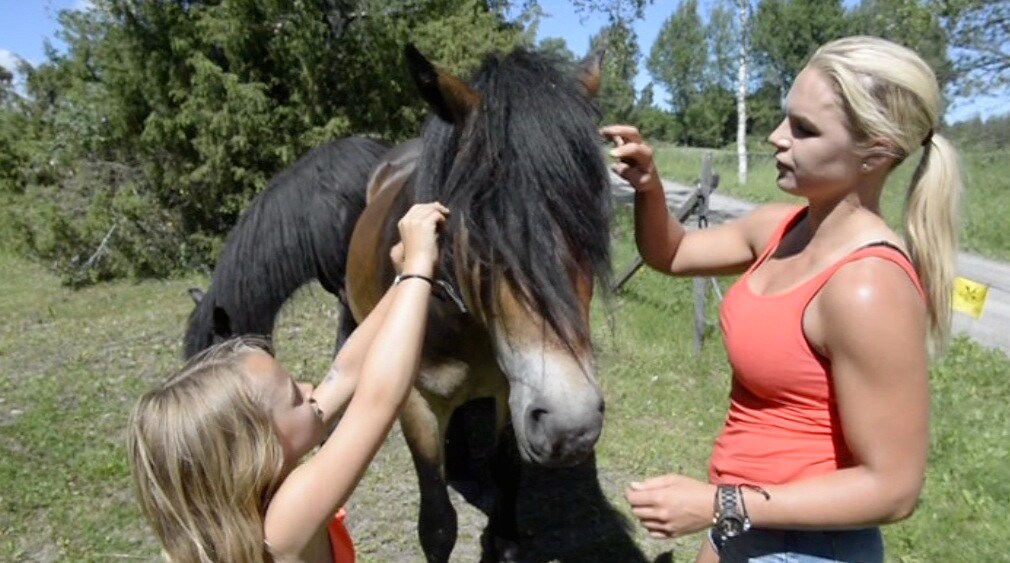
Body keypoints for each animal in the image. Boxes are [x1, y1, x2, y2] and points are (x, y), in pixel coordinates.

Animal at [345, 45, 614, 557]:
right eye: (482, 226)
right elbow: (437, 523)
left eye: (590, 218)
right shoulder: (416, 402)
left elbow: (506, 476)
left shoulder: (513, 392)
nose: (572, 428)